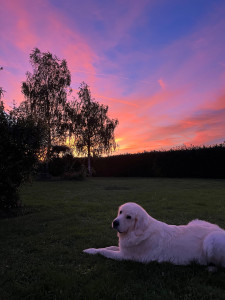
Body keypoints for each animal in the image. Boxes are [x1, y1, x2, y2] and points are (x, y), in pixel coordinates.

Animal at [84, 202, 225, 268]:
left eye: (129, 217)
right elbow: (109, 247)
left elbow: (105, 251)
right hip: (195, 221)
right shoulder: (124, 248)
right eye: (120, 212)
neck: (137, 232)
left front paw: (92, 251)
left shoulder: (125, 256)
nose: (115, 222)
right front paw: (91, 249)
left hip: (211, 241)